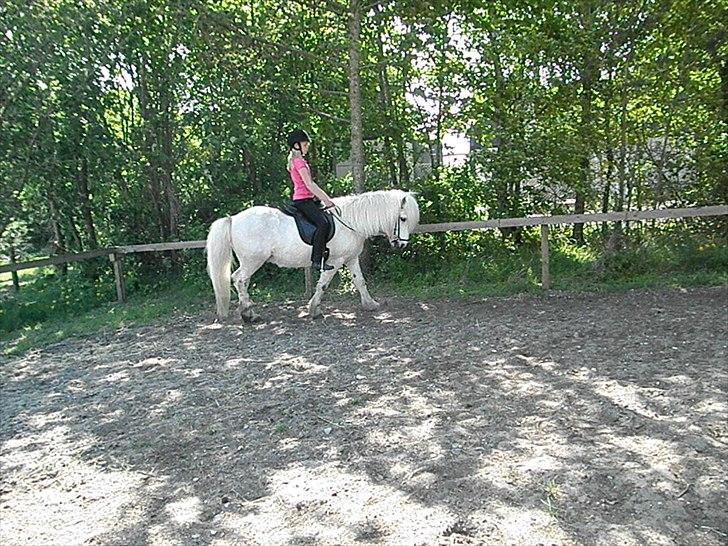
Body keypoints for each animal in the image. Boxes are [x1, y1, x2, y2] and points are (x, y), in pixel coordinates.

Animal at [205, 190, 420, 320]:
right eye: (403, 218)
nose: (401, 244)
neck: (351, 222)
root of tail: (232, 219)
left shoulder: (351, 259)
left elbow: (360, 281)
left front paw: (370, 304)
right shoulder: (335, 262)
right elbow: (322, 285)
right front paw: (314, 309)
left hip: (249, 262)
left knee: (242, 281)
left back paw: (247, 311)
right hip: (253, 260)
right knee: (239, 279)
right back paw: (249, 313)